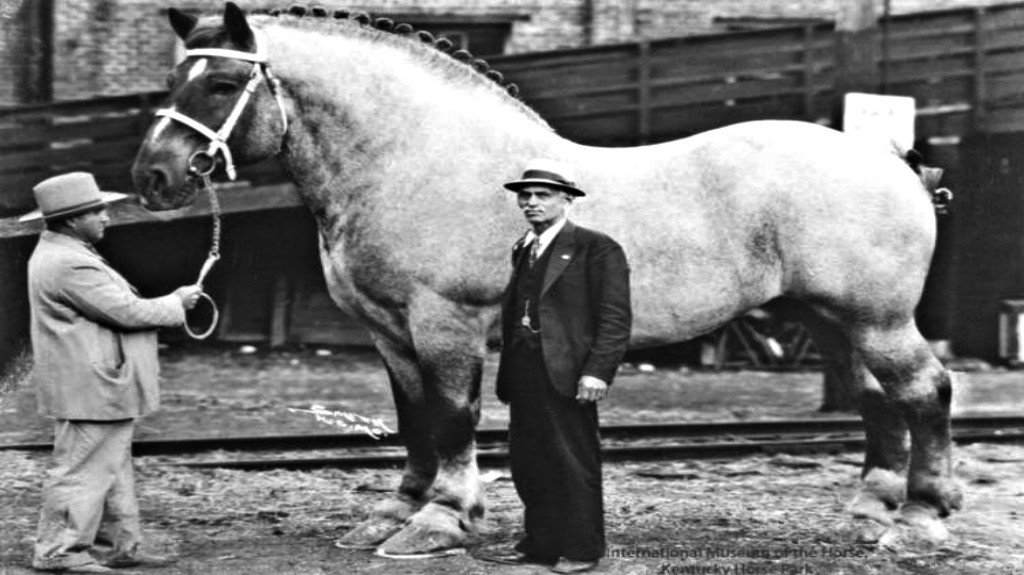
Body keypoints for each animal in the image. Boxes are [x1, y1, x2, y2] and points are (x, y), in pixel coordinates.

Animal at [131, 2, 961, 557]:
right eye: (174, 77)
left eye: (221, 84)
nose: (154, 176)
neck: (416, 156)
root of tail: (894, 161)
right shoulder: (389, 331)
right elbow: (414, 419)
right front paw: (395, 512)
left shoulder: (445, 323)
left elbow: (453, 418)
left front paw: (442, 518)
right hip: (831, 319)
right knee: (877, 398)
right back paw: (871, 507)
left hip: (877, 319)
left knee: (926, 390)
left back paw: (921, 516)